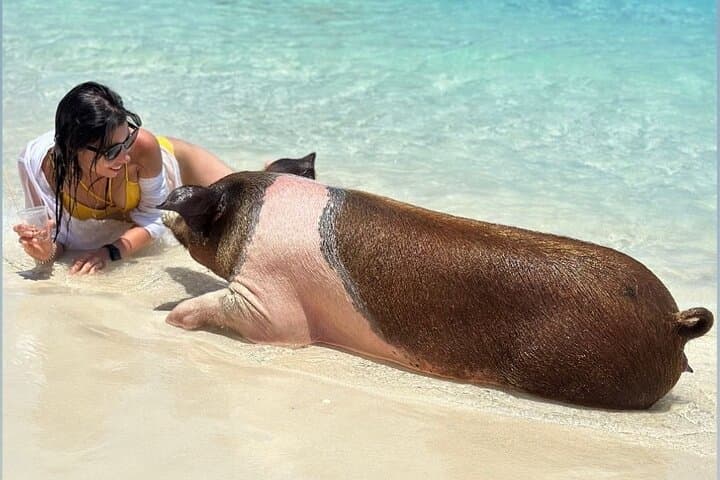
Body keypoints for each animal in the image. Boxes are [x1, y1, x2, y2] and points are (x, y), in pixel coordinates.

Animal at [159, 154, 713, 410]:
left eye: (203, 207)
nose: (167, 210)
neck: (255, 215)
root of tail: (675, 320)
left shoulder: (272, 305)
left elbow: (250, 316)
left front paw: (172, 318)